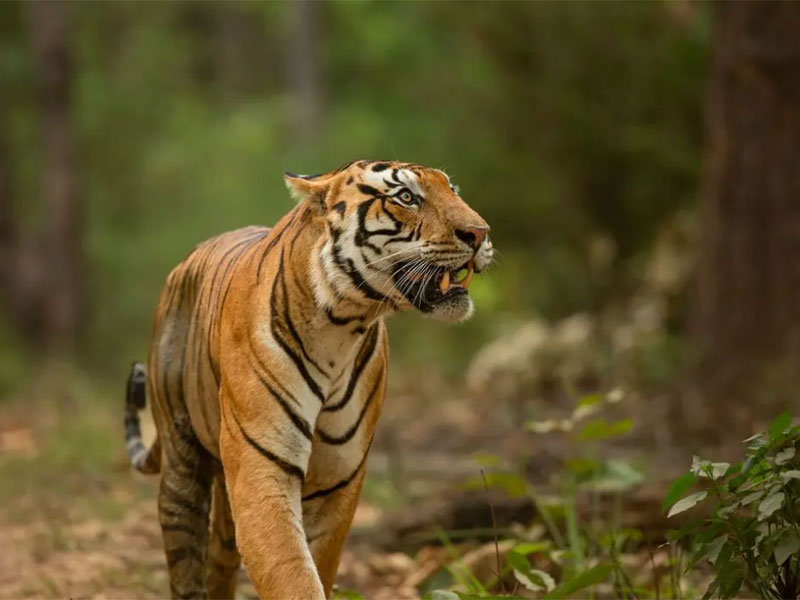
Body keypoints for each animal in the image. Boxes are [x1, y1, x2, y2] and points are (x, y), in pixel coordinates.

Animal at [123, 160, 493, 599]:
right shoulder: (263, 467)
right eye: (406, 197)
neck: (342, 324)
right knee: (185, 555)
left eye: (453, 190)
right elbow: (291, 572)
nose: (480, 233)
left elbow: (315, 565)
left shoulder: (336, 479)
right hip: (182, 464)